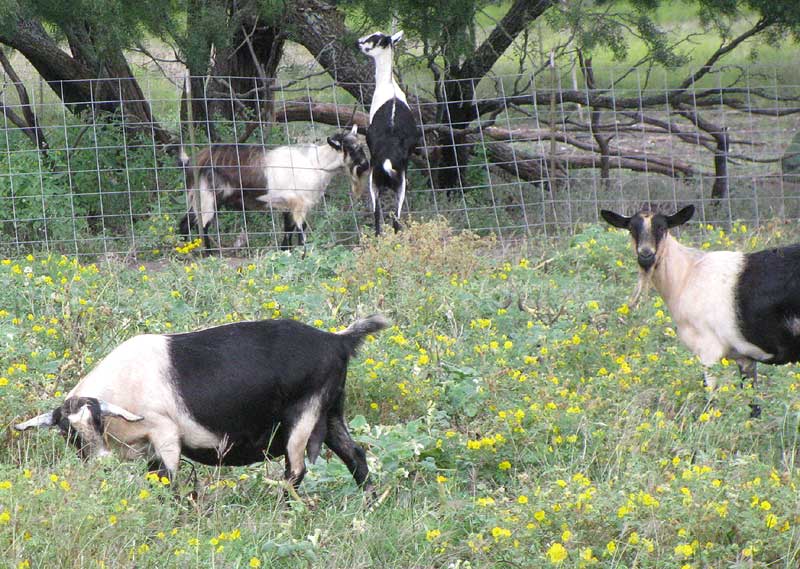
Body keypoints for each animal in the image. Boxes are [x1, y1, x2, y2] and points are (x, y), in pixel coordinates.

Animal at [178, 127, 368, 252]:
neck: (315, 163)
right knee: (202, 225)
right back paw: (207, 254)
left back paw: (184, 250)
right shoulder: (299, 204)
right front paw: (303, 254)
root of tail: (191, 163)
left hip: (198, 198)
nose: (366, 165)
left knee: (185, 223)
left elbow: (288, 230)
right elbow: (301, 231)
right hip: (207, 197)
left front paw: (286, 251)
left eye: (361, 146)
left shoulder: (288, 206)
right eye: (350, 148)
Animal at [358, 30, 418, 234]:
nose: (358, 42)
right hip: (400, 188)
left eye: (373, 39)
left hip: (374, 183)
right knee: (396, 221)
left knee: (378, 219)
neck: (389, 86)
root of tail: (387, 162)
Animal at [604, 202, 800, 414]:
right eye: (632, 229)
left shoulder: (708, 350)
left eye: (662, 227)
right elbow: (753, 407)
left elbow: (710, 402)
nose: (646, 255)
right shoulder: (746, 357)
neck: (687, 274)